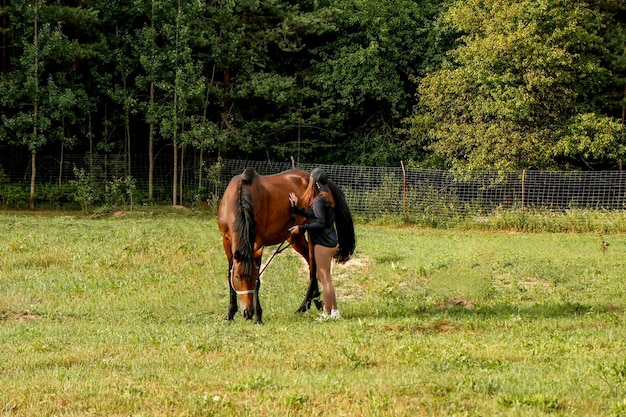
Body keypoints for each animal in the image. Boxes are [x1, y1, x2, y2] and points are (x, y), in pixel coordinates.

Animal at [216, 167, 354, 324]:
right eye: (238, 277)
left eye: (252, 277)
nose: (248, 313)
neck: (240, 196)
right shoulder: (227, 243)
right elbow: (229, 277)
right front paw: (230, 314)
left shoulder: (258, 244)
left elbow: (258, 281)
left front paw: (258, 316)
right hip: (295, 237)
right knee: (311, 263)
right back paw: (316, 302)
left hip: (312, 233)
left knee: (314, 266)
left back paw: (304, 305)